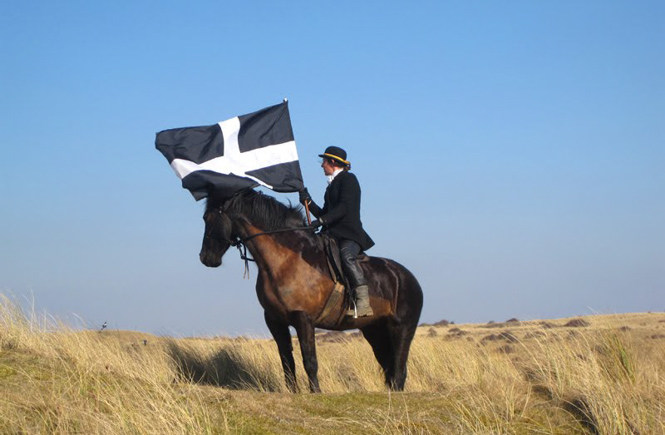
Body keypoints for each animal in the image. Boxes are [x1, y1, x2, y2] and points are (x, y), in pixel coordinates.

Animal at [200, 189, 422, 394]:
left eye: (209, 218)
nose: (206, 257)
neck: (285, 260)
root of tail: (408, 277)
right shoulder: (274, 320)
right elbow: (287, 360)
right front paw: (293, 392)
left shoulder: (303, 318)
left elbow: (309, 360)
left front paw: (316, 392)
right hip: (374, 330)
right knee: (389, 367)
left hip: (401, 328)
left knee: (399, 369)